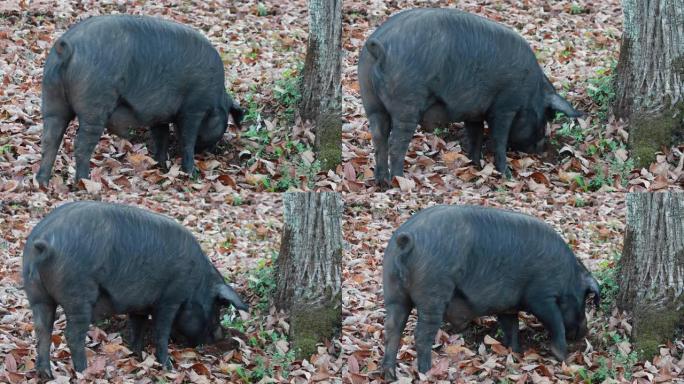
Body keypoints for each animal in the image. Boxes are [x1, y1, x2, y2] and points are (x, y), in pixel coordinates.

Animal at [23, 202, 248, 380]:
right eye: (216, 309)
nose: (220, 335)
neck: (197, 283)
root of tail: (44, 240)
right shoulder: (171, 299)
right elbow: (161, 332)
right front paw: (167, 367)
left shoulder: (139, 306)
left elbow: (137, 329)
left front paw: (137, 357)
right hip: (78, 295)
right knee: (72, 335)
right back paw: (84, 372)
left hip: (37, 296)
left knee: (42, 330)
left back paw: (46, 375)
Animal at [36, 15, 243, 187]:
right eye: (225, 119)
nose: (210, 151)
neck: (216, 98)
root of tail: (67, 48)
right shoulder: (194, 108)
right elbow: (187, 140)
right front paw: (191, 173)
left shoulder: (159, 115)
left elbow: (161, 138)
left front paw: (162, 166)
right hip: (94, 104)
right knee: (81, 145)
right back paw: (85, 182)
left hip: (52, 100)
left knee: (49, 139)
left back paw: (42, 182)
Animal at [358, 7, 584, 184]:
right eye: (546, 117)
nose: (542, 148)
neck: (532, 92)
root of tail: (380, 47)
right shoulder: (506, 106)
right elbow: (498, 139)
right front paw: (506, 174)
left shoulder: (473, 112)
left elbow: (475, 136)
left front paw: (475, 164)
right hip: (407, 102)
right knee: (396, 143)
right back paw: (400, 180)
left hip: (371, 101)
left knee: (378, 138)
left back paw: (382, 182)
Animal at [382, 206, 600, 380]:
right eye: (584, 299)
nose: (585, 331)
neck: (568, 277)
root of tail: (407, 240)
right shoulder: (541, 297)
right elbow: (556, 323)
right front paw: (564, 358)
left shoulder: (507, 306)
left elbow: (512, 327)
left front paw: (516, 353)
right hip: (432, 292)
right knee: (420, 335)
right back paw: (427, 373)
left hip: (393, 291)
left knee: (392, 329)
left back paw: (389, 374)